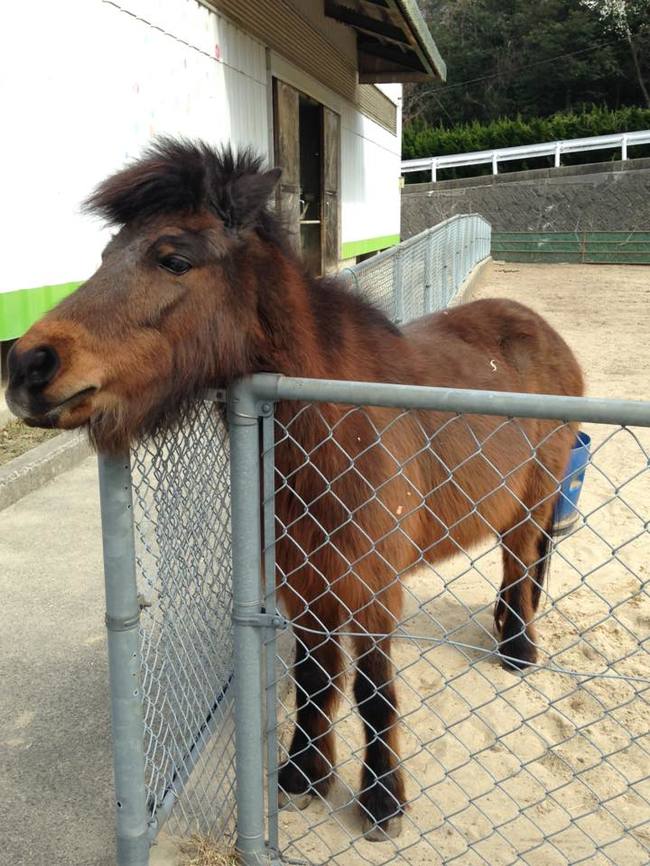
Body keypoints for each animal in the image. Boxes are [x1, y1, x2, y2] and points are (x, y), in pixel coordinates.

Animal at [6, 140, 584, 836]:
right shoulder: (303, 583)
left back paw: (518, 648)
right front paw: (303, 775)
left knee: (521, 561)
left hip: (535, 497)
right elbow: (315, 680)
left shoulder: (371, 588)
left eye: (175, 259)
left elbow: (372, 690)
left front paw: (382, 800)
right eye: (104, 256)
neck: (335, 426)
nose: (28, 366)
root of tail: (541, 332)